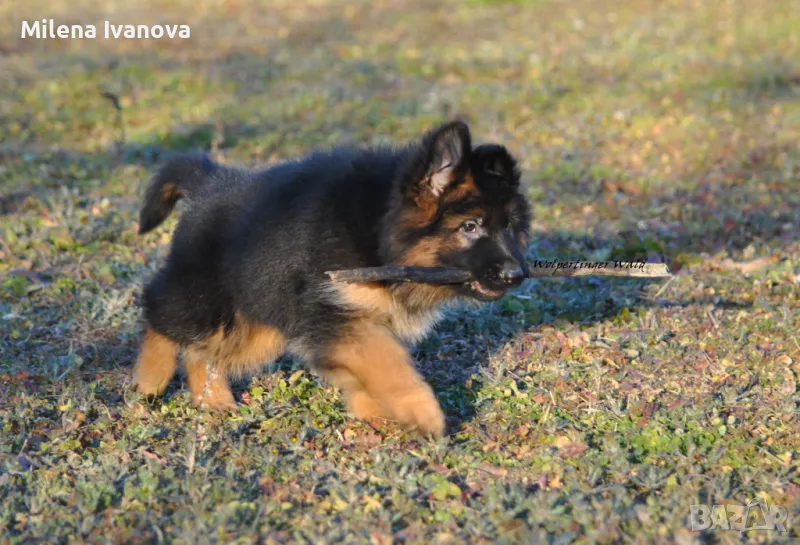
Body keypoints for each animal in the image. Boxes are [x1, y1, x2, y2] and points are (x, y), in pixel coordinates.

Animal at [131, 121, 532, 436]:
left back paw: (212, 401)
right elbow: (388, 363)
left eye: (509, 227)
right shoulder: (333, 309)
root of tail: (211, 185)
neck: (376, 232)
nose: (517, 275)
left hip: (258, 324)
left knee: (202, 352)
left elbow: (369, 368)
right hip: (209, 300)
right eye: (470, 227)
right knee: (160, 310)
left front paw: (377, 414)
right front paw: (422, 413)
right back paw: (149, 381)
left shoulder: (344, 321)